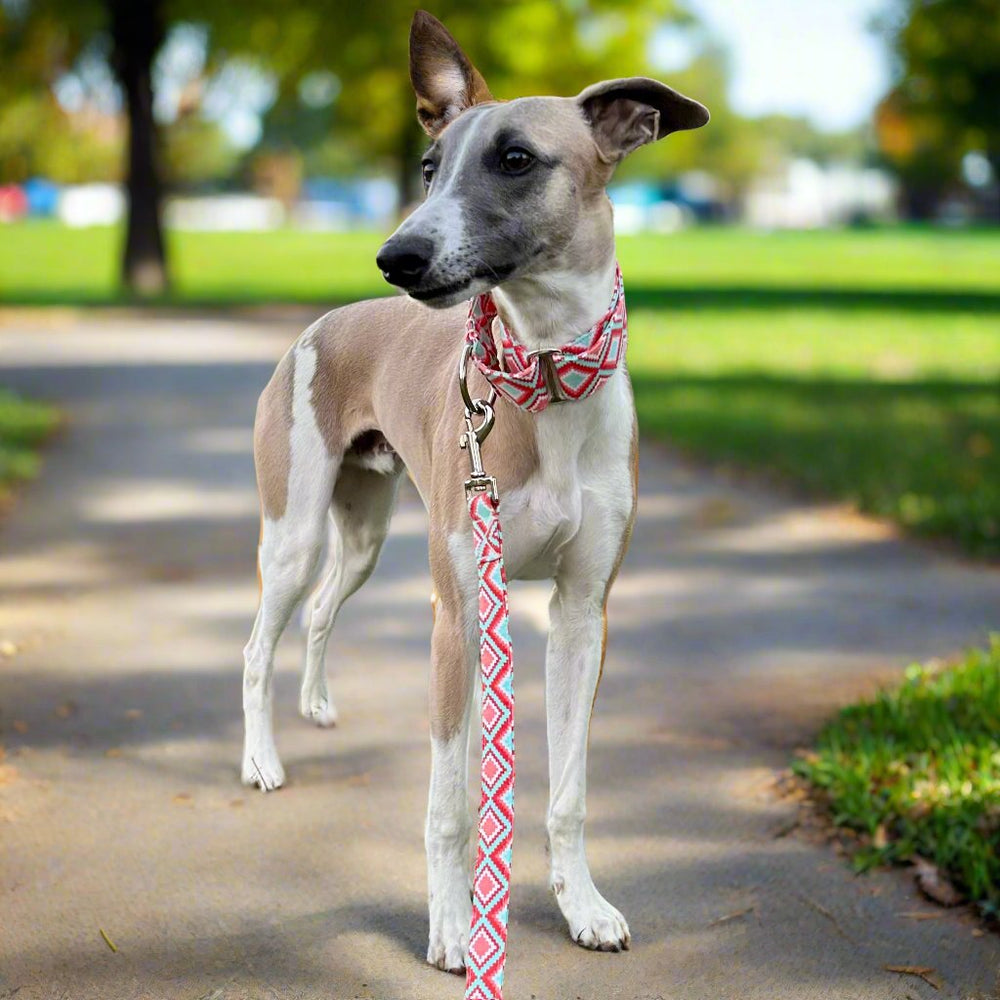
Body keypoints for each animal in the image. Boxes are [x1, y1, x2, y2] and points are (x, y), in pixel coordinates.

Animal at [244, 7, 712, 972]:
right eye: (429, 167)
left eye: (516, 159)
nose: (396, 256)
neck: (547, 380)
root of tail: (323, 323)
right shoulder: (459, 617)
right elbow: (452, 803)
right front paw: (457, 927)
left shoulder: (581, 615)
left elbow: (568, 791)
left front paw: (582, 906)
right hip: (295, 531)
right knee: (256, 645)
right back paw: (262, 760)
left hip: (363, 534)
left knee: (320, 611)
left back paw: (316, 705)